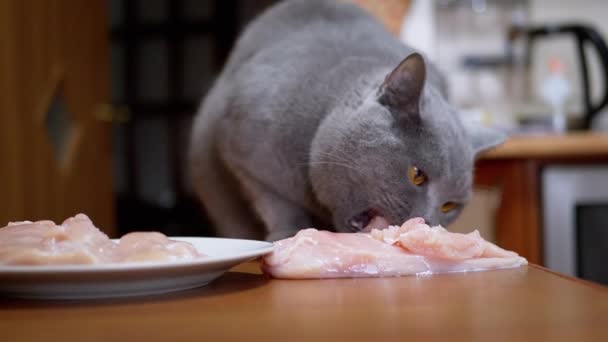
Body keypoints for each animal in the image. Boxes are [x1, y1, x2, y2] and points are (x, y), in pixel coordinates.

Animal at [189, 0, 504, 242]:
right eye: (417, 175)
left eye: (450, 206)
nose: (426, 221)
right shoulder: (242, 154)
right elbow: (277, 203)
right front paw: (287, 234)